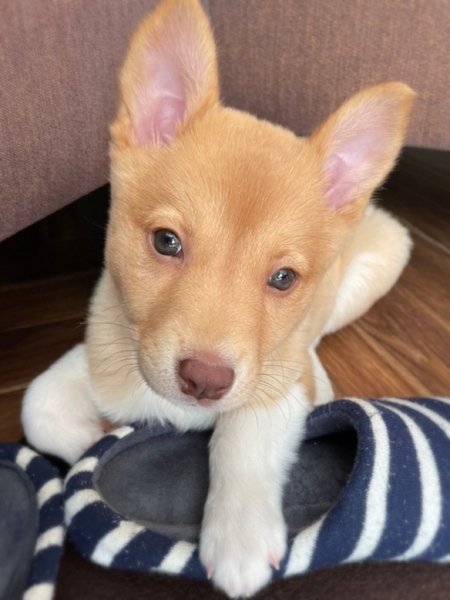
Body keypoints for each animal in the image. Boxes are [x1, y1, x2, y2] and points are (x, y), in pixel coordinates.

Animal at [22, 0, 414, 596]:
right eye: (167, 241)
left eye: (283, 278)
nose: (204, 381)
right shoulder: (103, 350)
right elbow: (37, 403)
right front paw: (92, 439)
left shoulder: (277, 381)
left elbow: (243, 431)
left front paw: (240, 538)